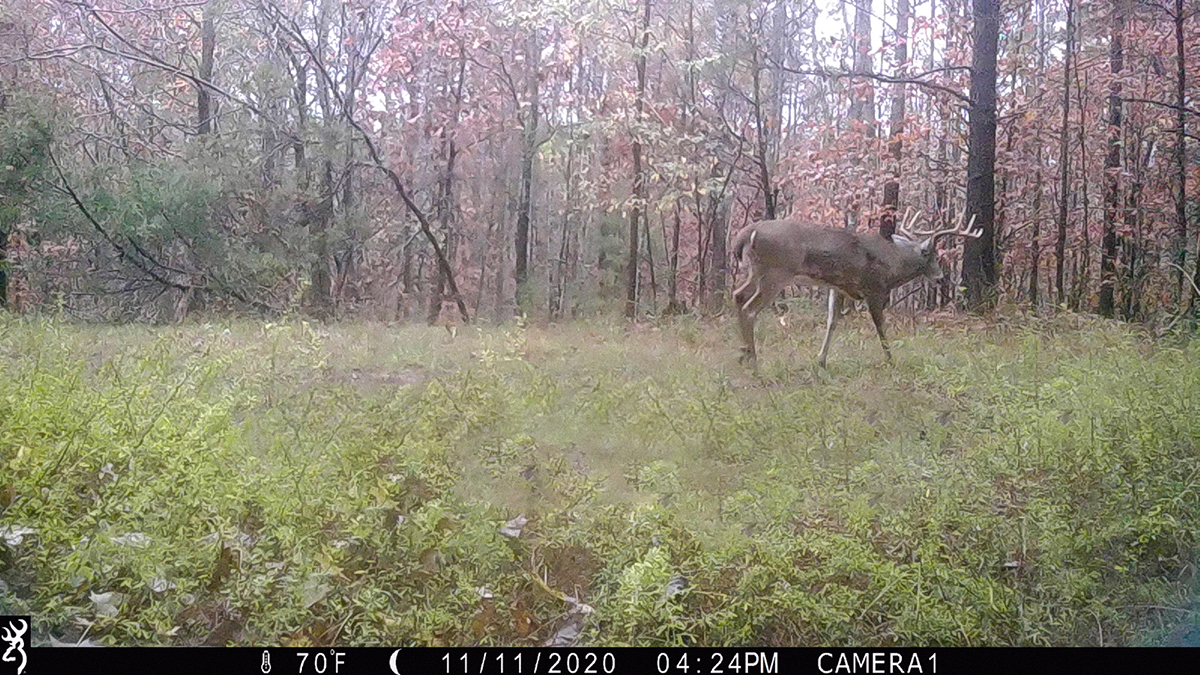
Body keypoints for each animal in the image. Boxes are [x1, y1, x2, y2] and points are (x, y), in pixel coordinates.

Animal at [731, 209, 980, 370]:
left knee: (738, 295)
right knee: (750, 308)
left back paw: (743, 353)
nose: (940, 278)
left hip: (756, 271)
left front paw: (821, 360)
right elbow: (880, 326)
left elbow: (832, 321)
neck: (895, 264)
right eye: (931, 255)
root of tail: (748, 233)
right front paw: (891, 360)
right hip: (777, 271)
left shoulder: (839, 288)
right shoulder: (875, 288)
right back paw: (753, 360)